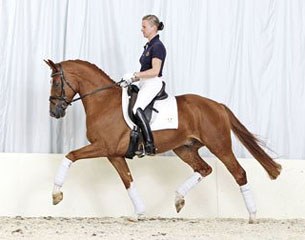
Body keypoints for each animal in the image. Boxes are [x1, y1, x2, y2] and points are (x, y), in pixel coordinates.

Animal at [45, 58, 280, 223]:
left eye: (56, 83)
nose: (54, 113)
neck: (104, 102)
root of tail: (217, 105)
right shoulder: (114, 155)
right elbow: (128, 181)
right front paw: (139, 213)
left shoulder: (103, 147)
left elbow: (70, 156)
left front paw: (56, 195)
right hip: (185, 149)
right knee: (204, 169)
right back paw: (178, 199)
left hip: (219, 146)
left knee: (239, 173)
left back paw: (253, 216)